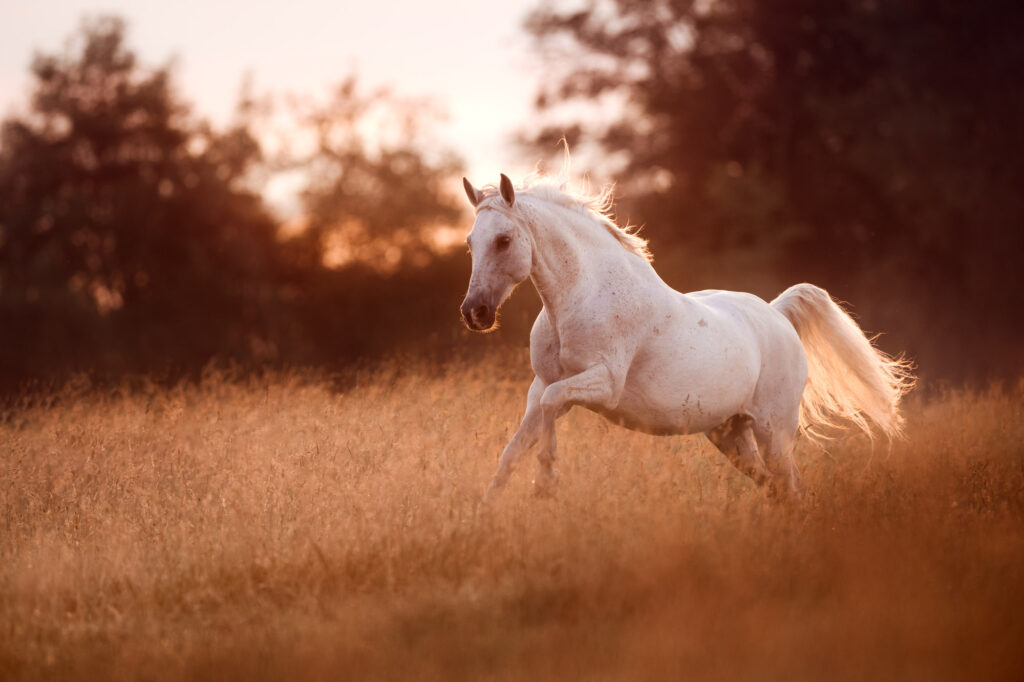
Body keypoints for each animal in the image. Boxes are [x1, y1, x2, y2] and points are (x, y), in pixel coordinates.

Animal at [459, 173, 914, 499]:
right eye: (470, 242)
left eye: (503, 240)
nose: (474, 313)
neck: (583, 296)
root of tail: (777, 313)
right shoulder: (540, 386)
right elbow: (511, 453)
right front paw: (489, 510)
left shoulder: (601, 384)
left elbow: (551, 409)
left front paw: (546, 481)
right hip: (730, 434)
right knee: (774, 488)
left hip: (775, 430)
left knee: (791, 487)